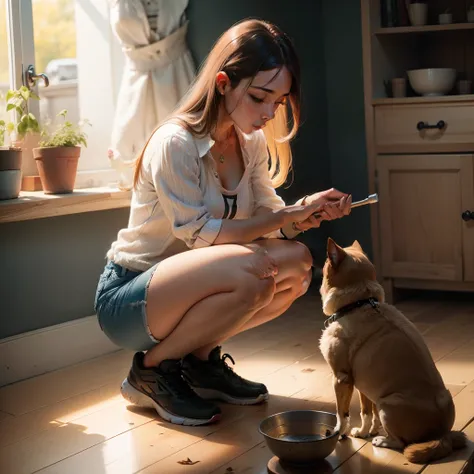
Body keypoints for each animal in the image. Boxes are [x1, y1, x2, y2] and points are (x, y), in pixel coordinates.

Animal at [318, 237, 466, 462]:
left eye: (326, 263)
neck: (358, 302)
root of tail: (442, 436)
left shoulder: (342, 378)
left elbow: (341, 414)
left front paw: (339, 433)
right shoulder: (361, 384)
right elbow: (365, 412)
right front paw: (364, 432)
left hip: (386, 404)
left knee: (401, 443)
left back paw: (383, 441)